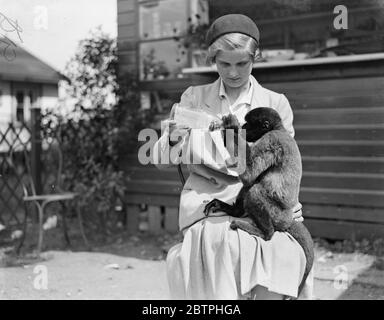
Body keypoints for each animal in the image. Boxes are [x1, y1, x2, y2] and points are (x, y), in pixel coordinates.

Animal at [202, 107, 314, 298]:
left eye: (249, 122)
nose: (243, 126)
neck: (279, 128)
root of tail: (288, 219)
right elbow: (250, 177)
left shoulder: (270, 140)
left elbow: (249, 174)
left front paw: (230, 126)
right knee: (251, 186)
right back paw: (235, 212)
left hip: (275, 214)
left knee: (254, 190)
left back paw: (265, 233)